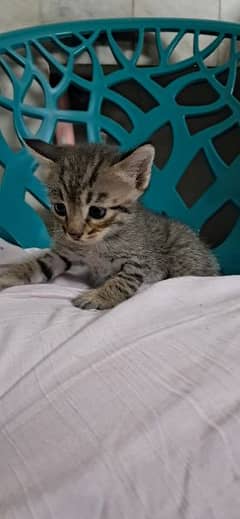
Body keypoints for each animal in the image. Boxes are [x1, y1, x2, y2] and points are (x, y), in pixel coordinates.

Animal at [0, 140, 219, 308]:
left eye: (97, 212)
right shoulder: (65, 252)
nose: (73, 233)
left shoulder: (140, 262)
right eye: (60, 208)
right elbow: (37, 264)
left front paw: (98, 296)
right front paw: (7, 275)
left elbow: (122, 281)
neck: (96, 244)